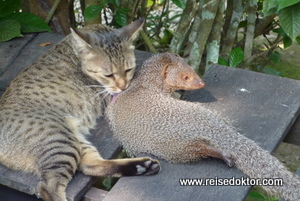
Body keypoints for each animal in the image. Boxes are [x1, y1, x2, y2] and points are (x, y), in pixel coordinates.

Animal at [0, 18, 159, 201]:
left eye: (127, 69)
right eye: (108, 75)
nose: (122, 86)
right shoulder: (109, 94)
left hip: (73, 140)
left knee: (90, 165)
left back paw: (142, 166)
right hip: (60, 141)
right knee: (48, 187)